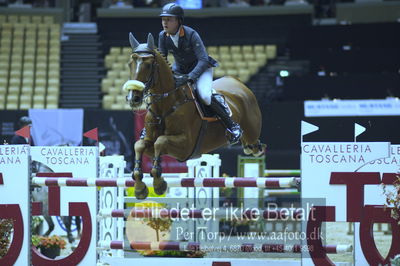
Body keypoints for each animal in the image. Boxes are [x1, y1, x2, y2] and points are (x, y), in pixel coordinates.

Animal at [123, 33, 264, 198]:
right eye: (130, 63)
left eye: (149, 65)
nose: (133, 98)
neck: (164, 106)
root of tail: (238, 82)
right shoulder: (150, 142)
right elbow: (139, 145)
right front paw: (140, 188)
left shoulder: (185, 146)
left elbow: (161, 141)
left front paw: (158, 184)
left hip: (252, 133)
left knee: (255, 146)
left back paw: (239, 135)